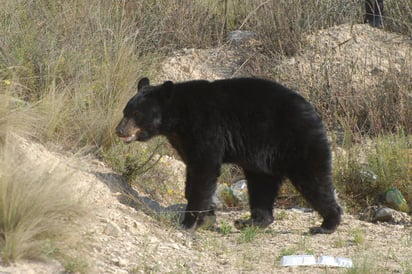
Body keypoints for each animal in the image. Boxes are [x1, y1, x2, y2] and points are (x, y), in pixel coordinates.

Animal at [115, 77, 342, 233]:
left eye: (136, 114)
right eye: (125, 111)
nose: (119, 130)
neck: (178, 119)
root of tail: (314, 113)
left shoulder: (206, 128)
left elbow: (204, 171)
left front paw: (189, 222)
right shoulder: (184, 141)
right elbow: (192, 173)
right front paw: (207, 214)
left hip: (297, 142)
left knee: (314, 180)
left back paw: (326, 224)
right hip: (264, 160)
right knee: (262, 186)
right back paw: (251, 221)